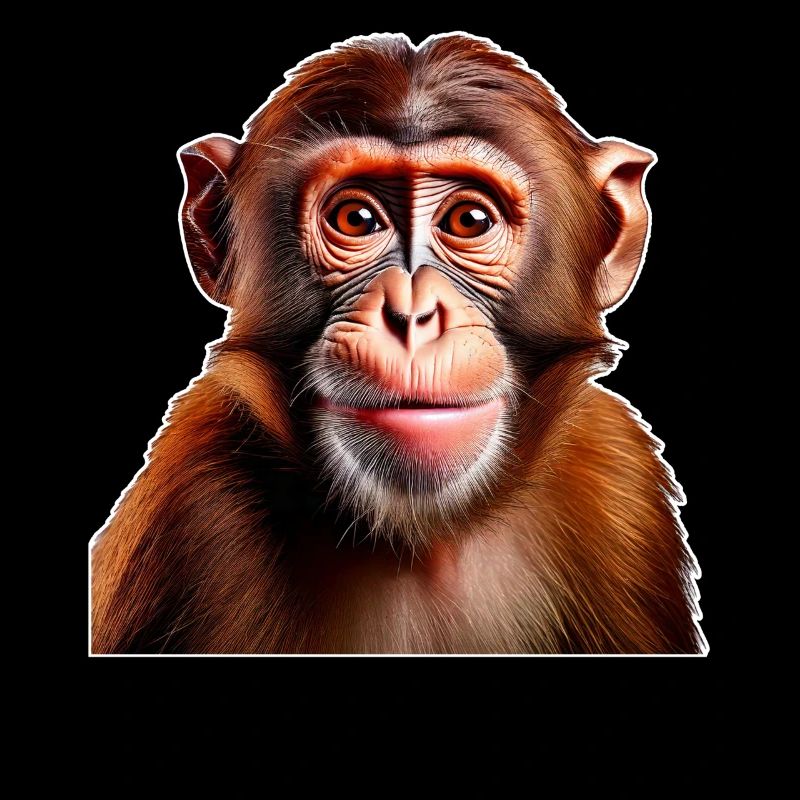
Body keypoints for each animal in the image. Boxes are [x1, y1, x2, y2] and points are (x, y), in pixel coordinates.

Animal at [90, 32, 705, 654]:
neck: (422, 540)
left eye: (469, 219)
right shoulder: (191, 505)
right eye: (356, 219)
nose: (412, 314)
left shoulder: (619, 476)